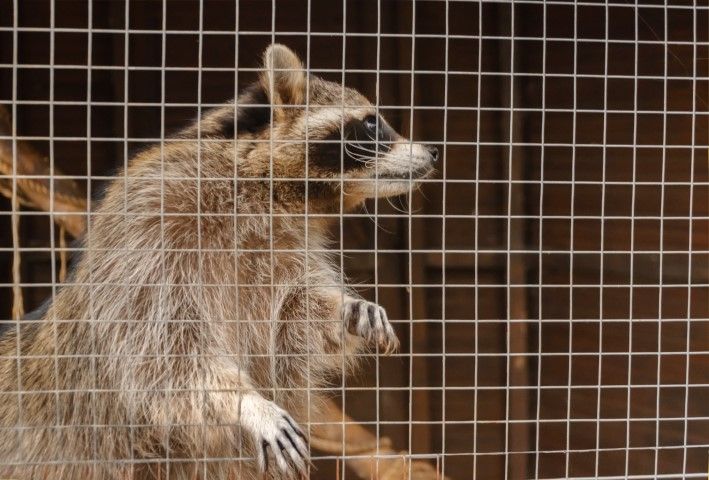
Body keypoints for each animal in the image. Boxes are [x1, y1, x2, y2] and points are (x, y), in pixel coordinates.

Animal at [0, 43, 436, 478]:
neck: (268, 192)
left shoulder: (282, 249)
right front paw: (245, 403)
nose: (433, 151)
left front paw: (344, 309)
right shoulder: (153, 234)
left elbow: (292, 319)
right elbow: (164, 350)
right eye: (371, 124)